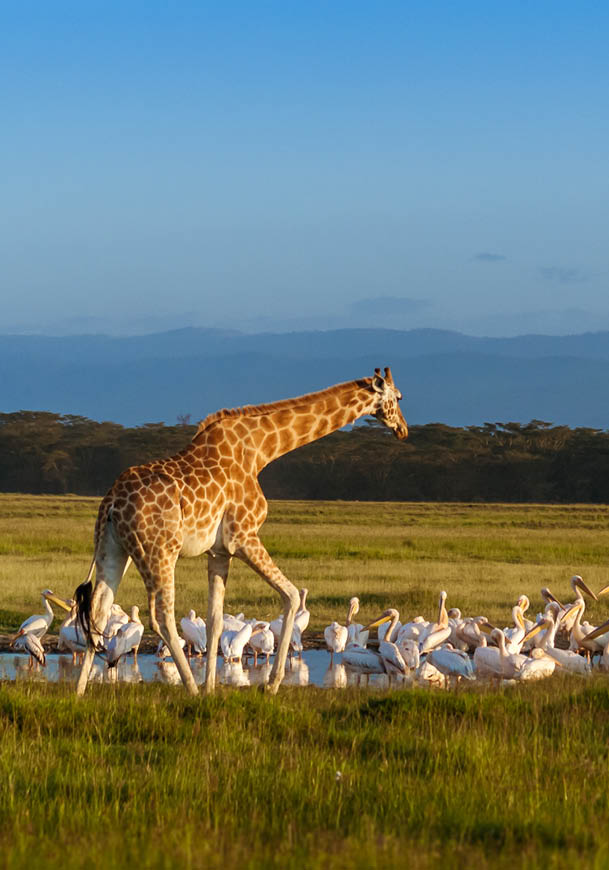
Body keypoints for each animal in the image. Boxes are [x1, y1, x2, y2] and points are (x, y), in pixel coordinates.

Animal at [75, 366, 408, 696]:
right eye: (398, 396)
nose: (403, 429)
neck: (260, 450)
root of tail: (112, 502)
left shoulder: (219, 551)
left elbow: (215, 620)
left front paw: (211, 689)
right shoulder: (244, 536)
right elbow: (291, 596)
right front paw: (271, 684)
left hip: (114, 549)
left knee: (98, 610)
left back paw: (79, 692)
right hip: (159, 552)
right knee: (161, 617)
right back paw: (190, 688)